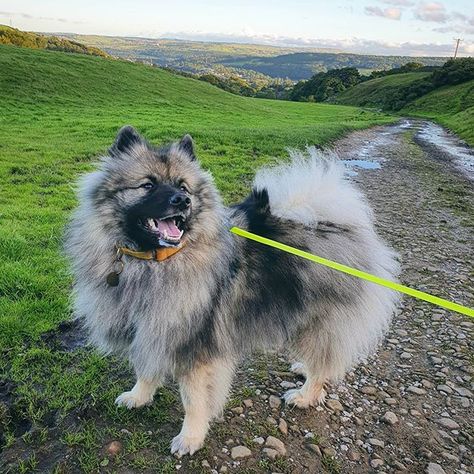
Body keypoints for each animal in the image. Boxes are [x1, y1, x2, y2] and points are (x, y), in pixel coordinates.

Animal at [65, 126, 400, 456]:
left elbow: (193, 399)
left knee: (323, 363)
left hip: (319, 319)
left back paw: (305, 394)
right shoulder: (148, 329)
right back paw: (302, 367)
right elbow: (145, 368)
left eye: (184, 187)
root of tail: (337, 223)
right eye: (147, 185)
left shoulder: (194, 343)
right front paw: (139, 396)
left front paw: (190, 437)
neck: (153, 262)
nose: (182, 201)